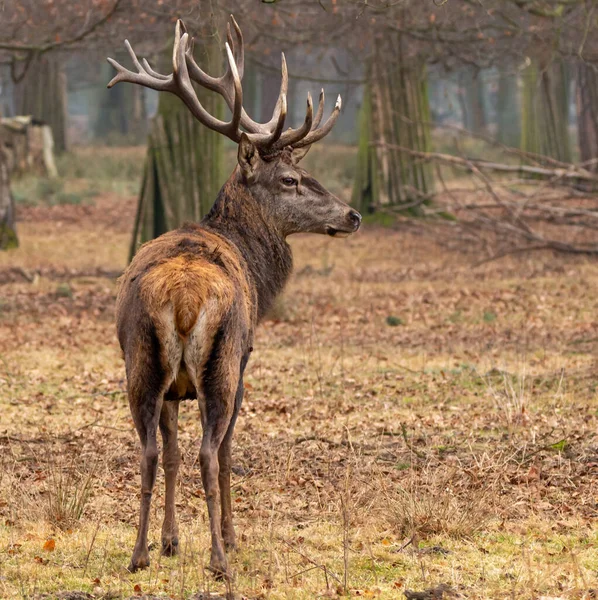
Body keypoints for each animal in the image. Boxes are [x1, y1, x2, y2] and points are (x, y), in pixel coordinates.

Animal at [107, 15, 360, 576]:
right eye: (290, 179)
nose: (353, 215)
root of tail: (182, 300)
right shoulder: (245, 359)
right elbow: (223, 453)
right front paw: (231, 536)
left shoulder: (171, 388)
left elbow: (171, 453)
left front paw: (170, 541)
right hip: (220, 362)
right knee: (210, 450)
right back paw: (220, 558)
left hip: (140, 362)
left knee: (148, 451)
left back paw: (138, 555)